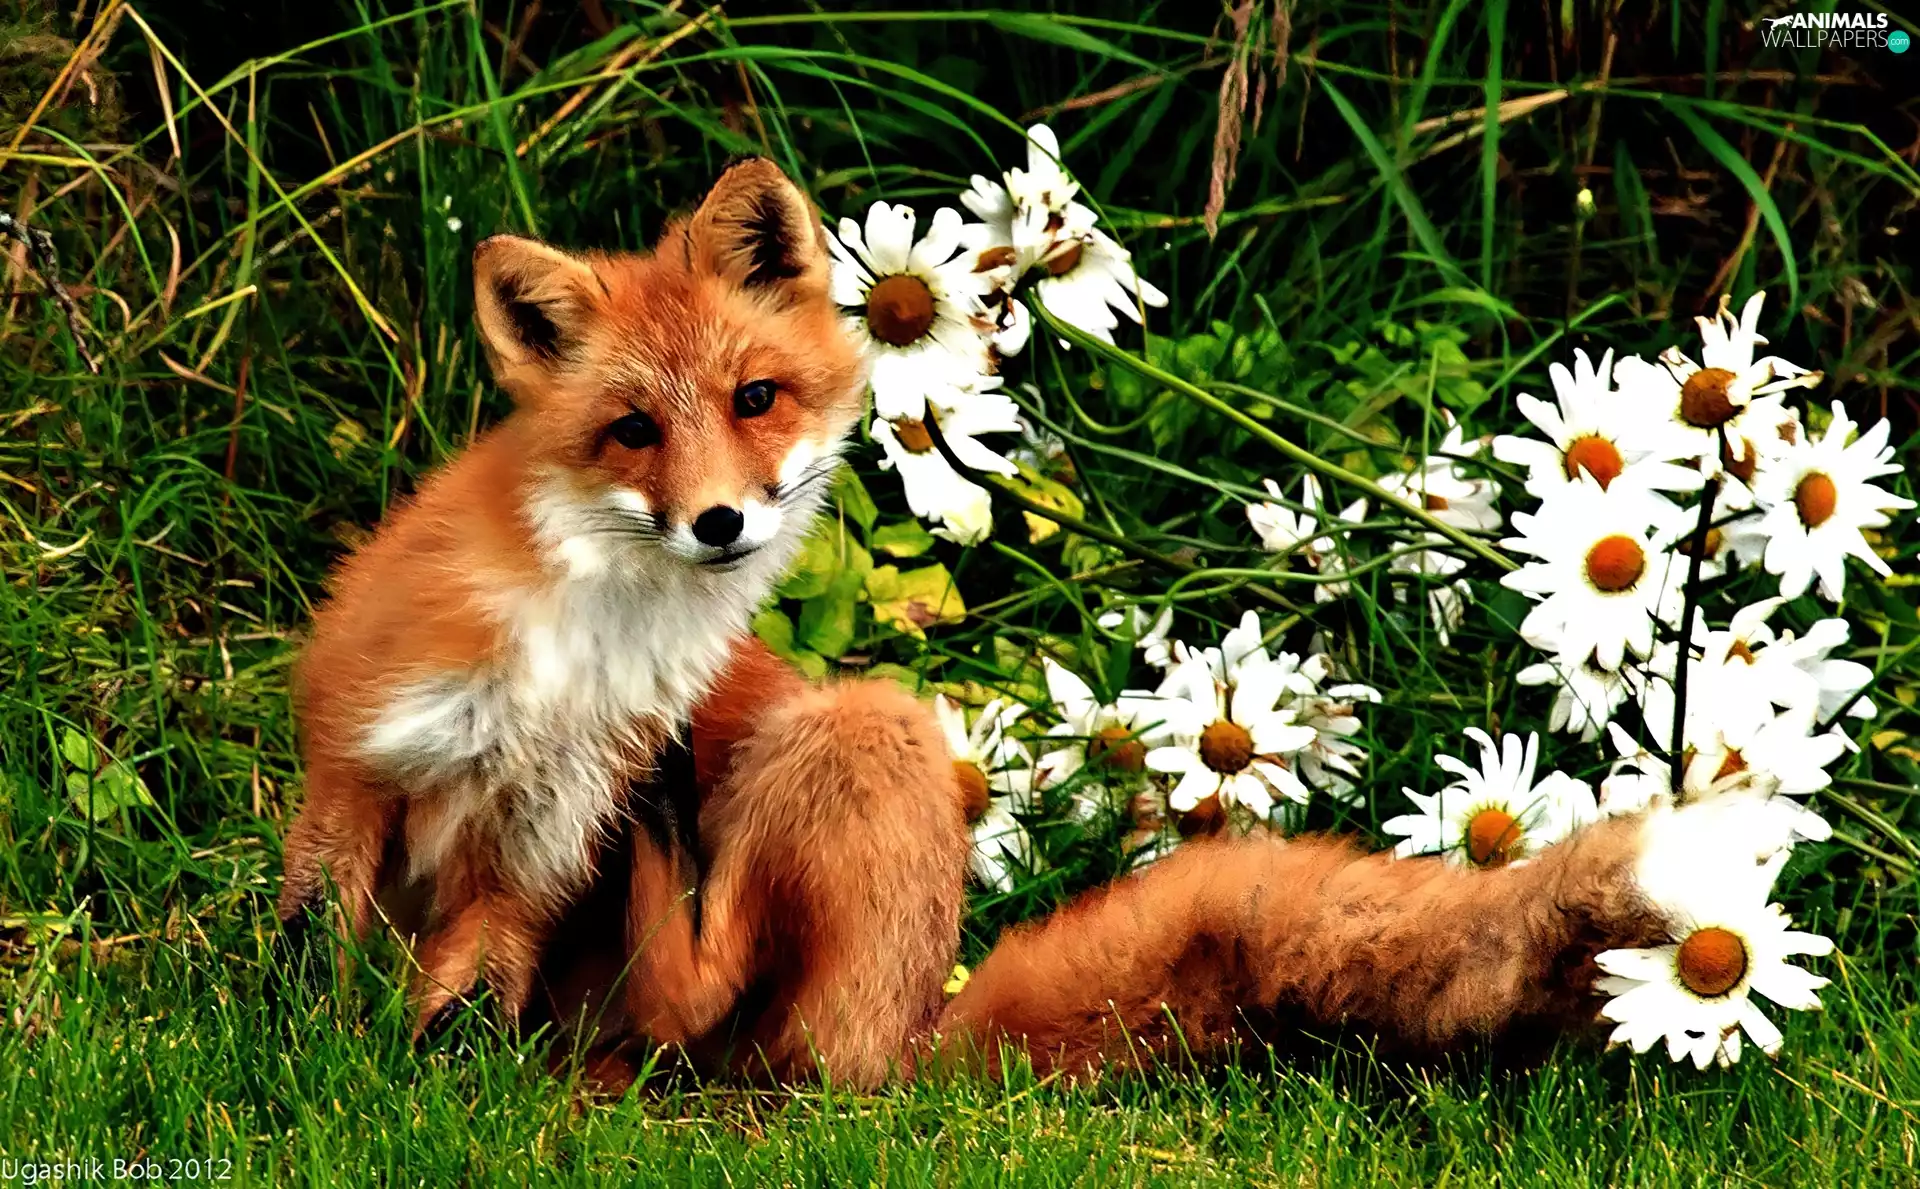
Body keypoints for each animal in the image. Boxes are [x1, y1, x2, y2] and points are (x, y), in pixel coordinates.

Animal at [278, 159, 875, 1033]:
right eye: (634, 430)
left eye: (755, 398)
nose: (719, 521)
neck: (579, 650)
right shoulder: (359, 759)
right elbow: (309, 948)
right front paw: (292, 1031)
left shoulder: (545, 837)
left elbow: (468, 1016)